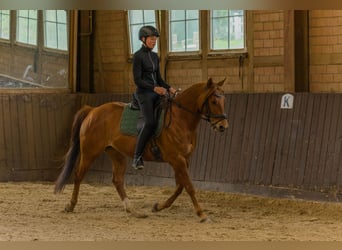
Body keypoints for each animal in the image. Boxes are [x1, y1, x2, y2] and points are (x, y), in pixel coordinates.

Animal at [54, 77, 228, 222]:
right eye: (213, 101)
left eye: (224, 100)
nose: (222, 127)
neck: (181, 119)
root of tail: (93, 110)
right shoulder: (176, 159)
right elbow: (189, 187)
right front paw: (202, 214)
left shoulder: (184, 159)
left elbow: (180, 187)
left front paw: (158, 207)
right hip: (90, 152)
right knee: (78, 175)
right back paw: (70, 205)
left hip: (116, 154)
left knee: (117, 180)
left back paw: (132, 210)